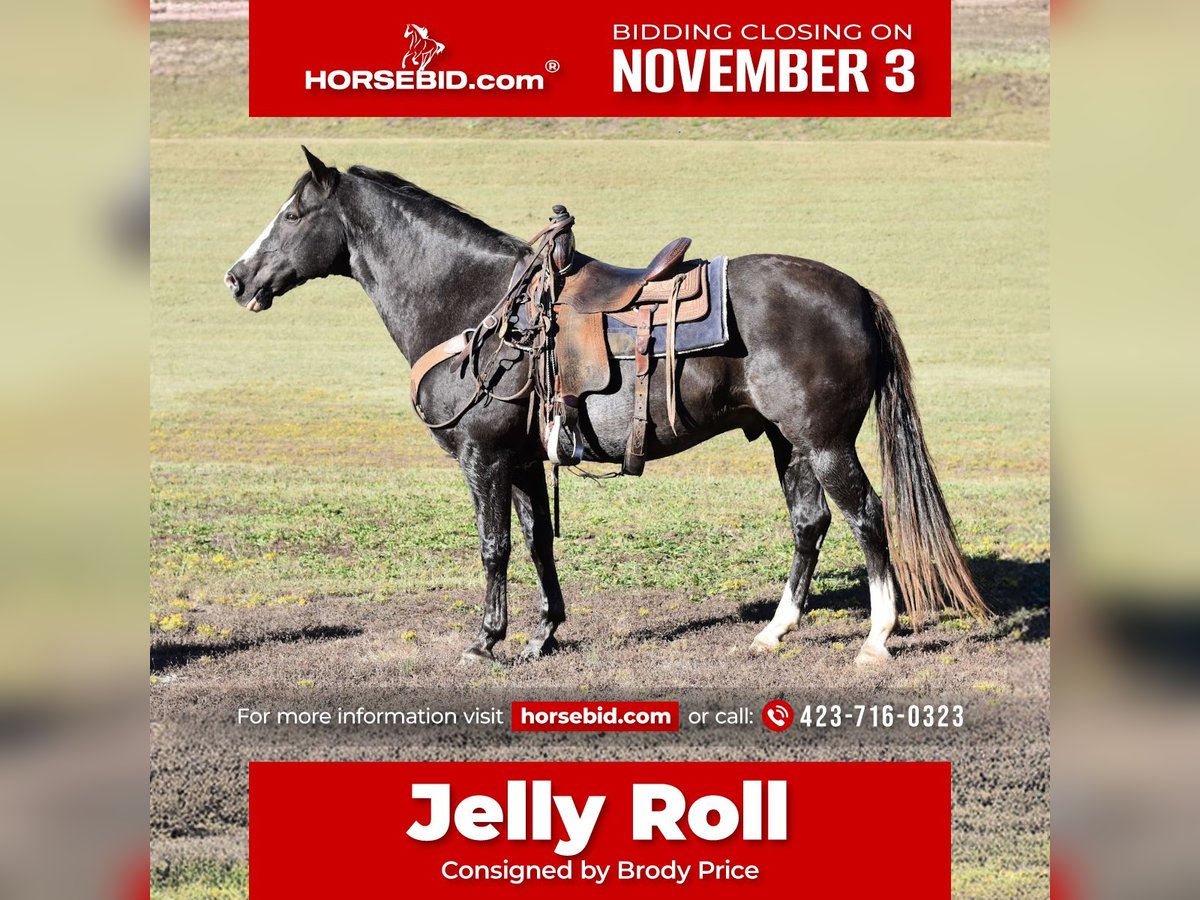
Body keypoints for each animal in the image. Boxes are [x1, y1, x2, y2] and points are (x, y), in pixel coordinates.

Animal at [223, 147, 989, 665]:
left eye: (293, 213)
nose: (236, 277)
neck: (473, 305)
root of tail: (856, 292)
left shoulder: (483, 458)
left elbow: (494, 547)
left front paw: (486, 641)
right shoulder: (525, 460)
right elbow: (537, 542)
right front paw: (542, 634)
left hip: (825, 442)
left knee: (866, 517)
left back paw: (877, 639)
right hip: (787, 442)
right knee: (811, 523)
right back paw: (774, 631)